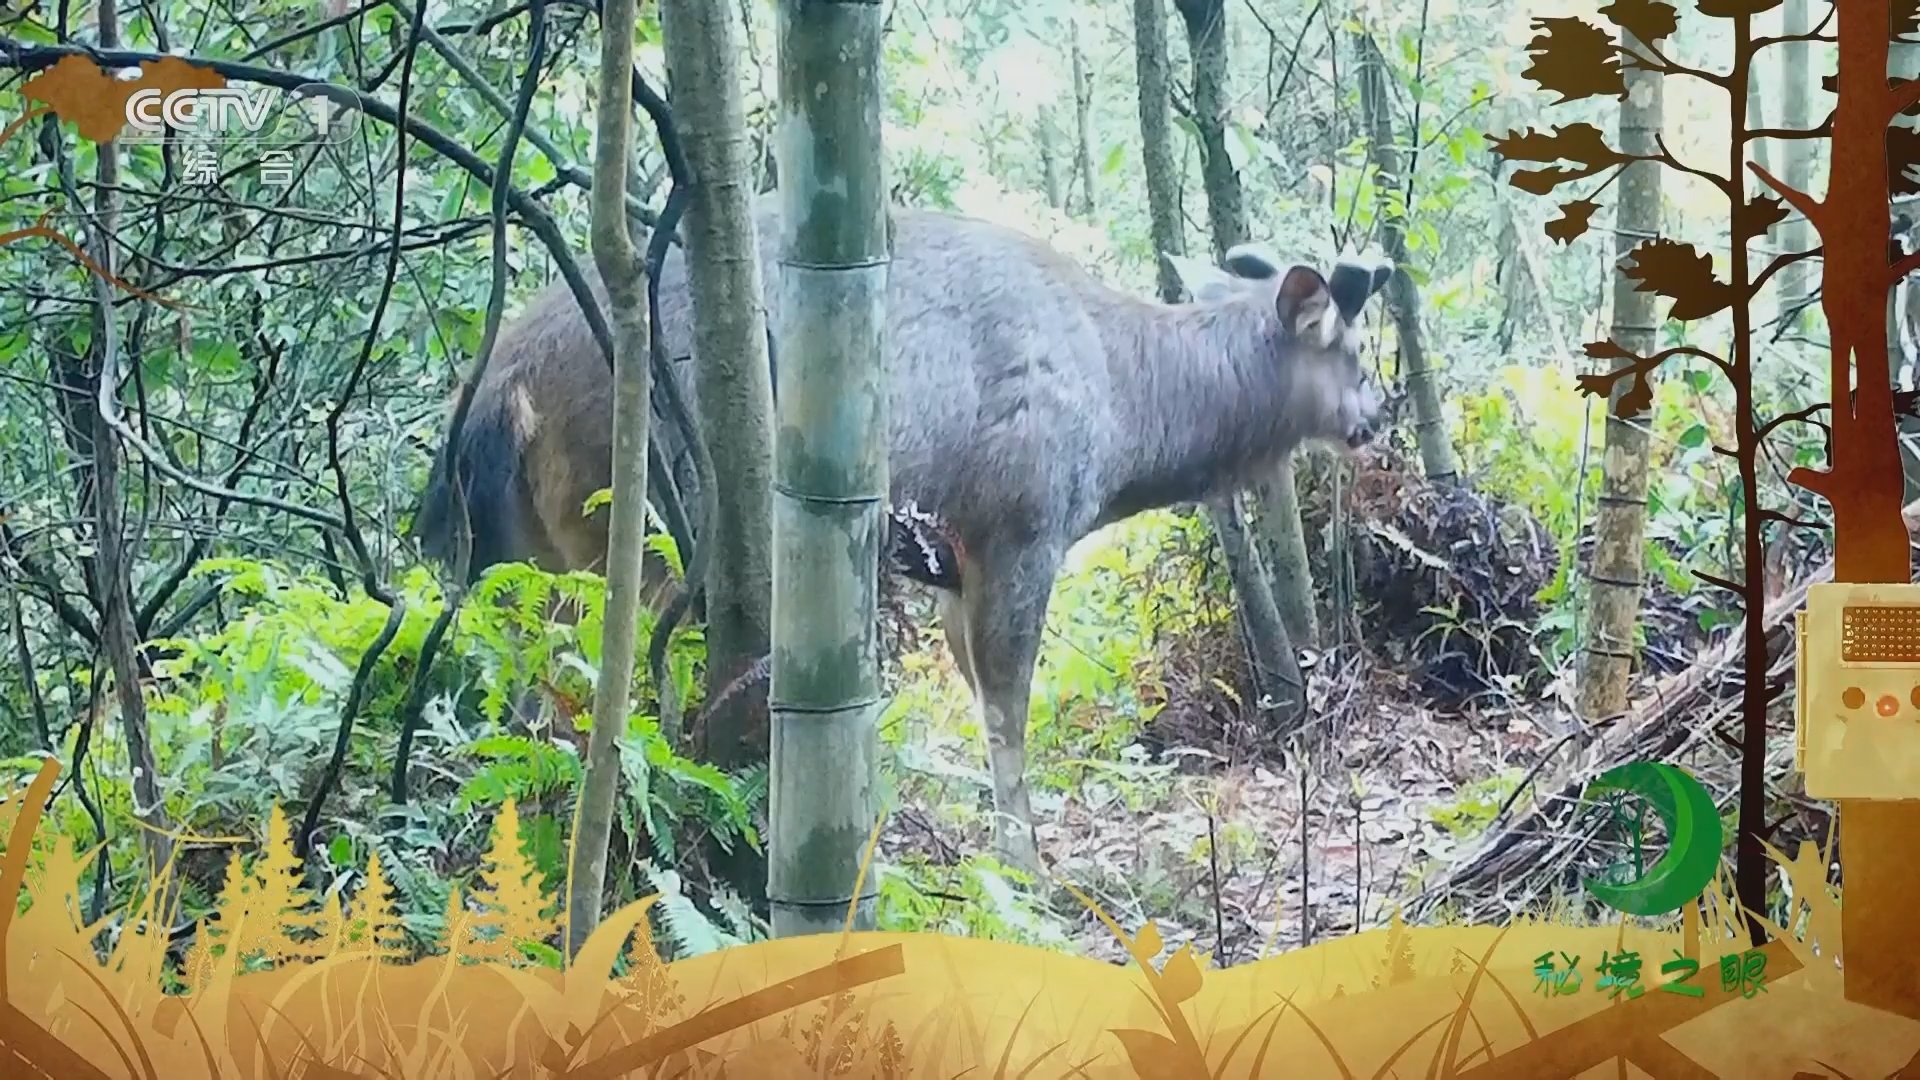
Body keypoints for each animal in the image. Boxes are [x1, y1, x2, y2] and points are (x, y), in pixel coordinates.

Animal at [413, 196, 1391, 876]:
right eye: (1352, 349)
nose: (1379, 415)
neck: (1126, 426)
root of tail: (496, 396)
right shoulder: (1021, 523)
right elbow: (1007, 710)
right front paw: (1028, 866)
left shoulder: (950, 562)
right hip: (646, 520)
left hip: (527, 552)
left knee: (527, 696)